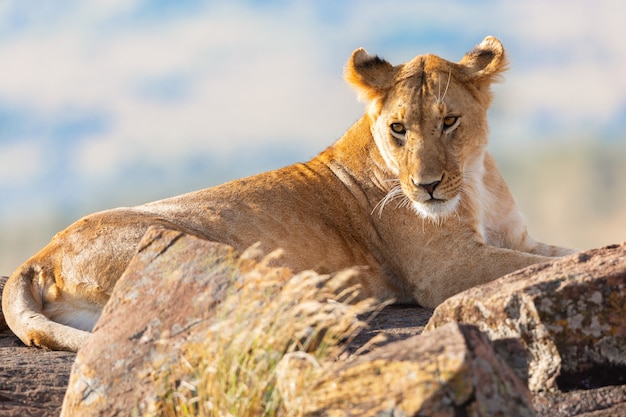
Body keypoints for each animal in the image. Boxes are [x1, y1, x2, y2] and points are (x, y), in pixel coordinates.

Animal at [2, 36, 572, 352]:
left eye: (448, 121)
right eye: (399, 129)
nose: (427, 186)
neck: (474, 179)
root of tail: (40, 257)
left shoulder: (515, 237)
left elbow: (565, 252)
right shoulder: (446, 269)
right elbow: (534, 266)